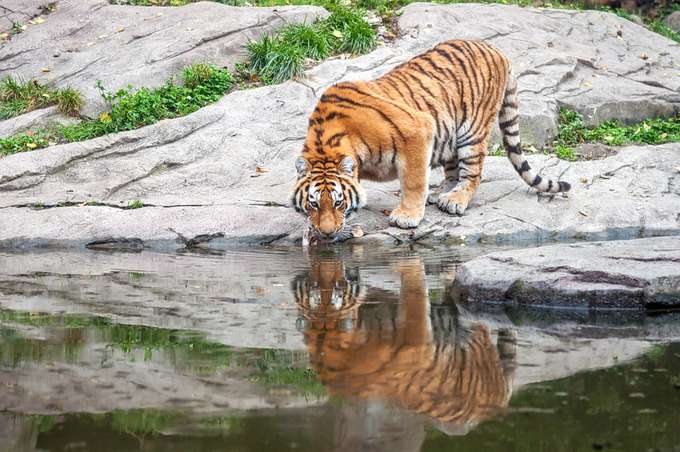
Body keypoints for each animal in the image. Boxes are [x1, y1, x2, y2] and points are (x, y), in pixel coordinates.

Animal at [290, 39, 571, 240]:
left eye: (339, 202)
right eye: (313, 204)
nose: (326, 234)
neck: (328, 142)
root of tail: (496, 50)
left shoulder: (416, 130)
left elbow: (413, 181)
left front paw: (407, 216)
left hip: (471, 131)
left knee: (473, 173)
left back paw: (454, 200)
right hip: (449, 133)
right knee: (453, 169)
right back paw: (441, 192)